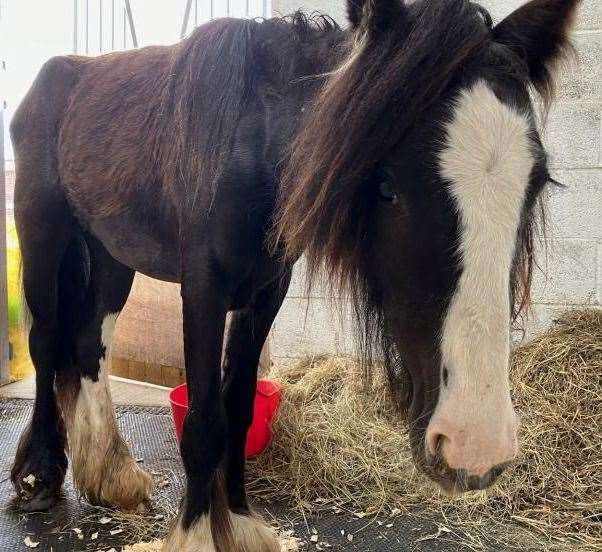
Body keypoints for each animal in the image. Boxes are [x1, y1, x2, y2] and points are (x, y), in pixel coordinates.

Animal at [9, 0, 580, 548]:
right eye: (386, 186)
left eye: (535, 183)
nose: (475, 445)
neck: (251, 141)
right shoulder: (204, 290)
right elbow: (205, 422)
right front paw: (198, 533)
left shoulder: (265, 291)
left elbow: (238, 409)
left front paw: (239, 522)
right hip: (42, 233)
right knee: (46, 344)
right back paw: (40, 476)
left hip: (111, 255)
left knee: (90, 345)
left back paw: (111, 476)